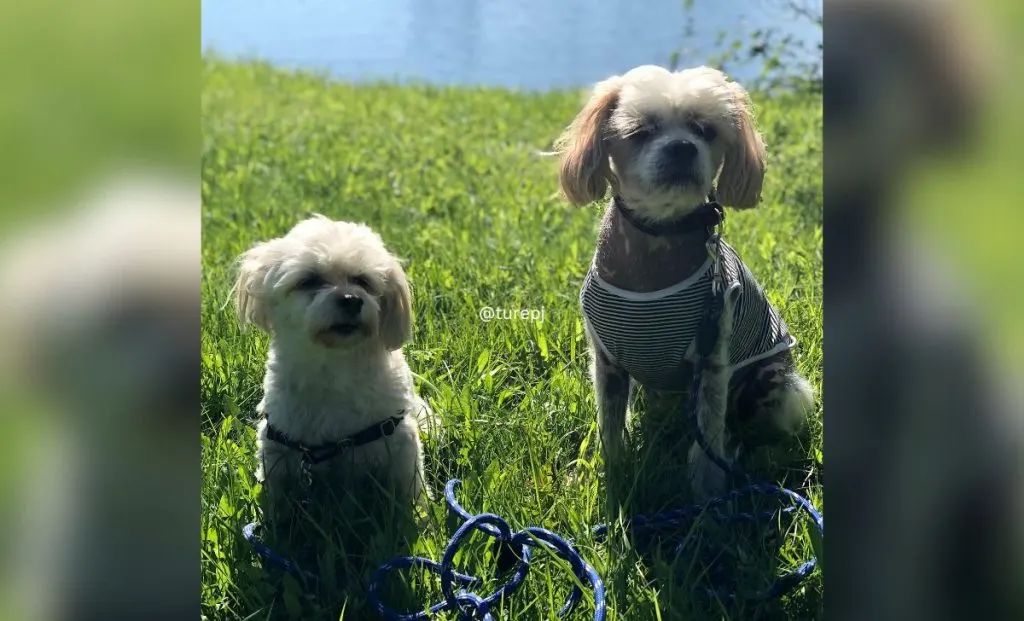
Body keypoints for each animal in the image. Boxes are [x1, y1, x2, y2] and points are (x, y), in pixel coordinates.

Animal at [233, 216, 432, 518]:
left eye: (362, 280)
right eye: (309, 280)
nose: (352, 299)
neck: (334, 366)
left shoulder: (400, 442)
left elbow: (408, 493)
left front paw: (417, 519)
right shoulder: (278, 448)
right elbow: (277, 500)